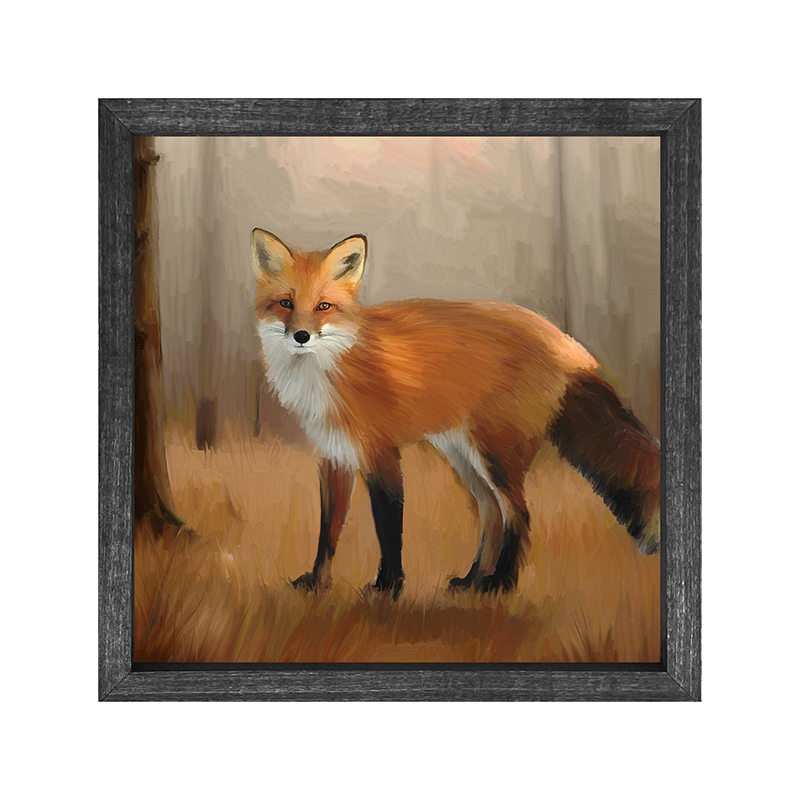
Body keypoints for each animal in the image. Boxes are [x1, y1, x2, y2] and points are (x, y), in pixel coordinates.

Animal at [252, 229, 661, 598]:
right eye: (285, 303)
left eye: (323, 306)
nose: (301, 336)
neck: (330, 368)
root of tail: (565, 342)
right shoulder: (334, 456)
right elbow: (329, 531)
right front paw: (317, 583)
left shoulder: (381, 453)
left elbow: (388, 527)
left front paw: (389, 587)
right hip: (465, 456)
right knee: (492, 514)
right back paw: (472, 580)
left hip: (495, 454)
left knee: (519, 514)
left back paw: (501, 584)